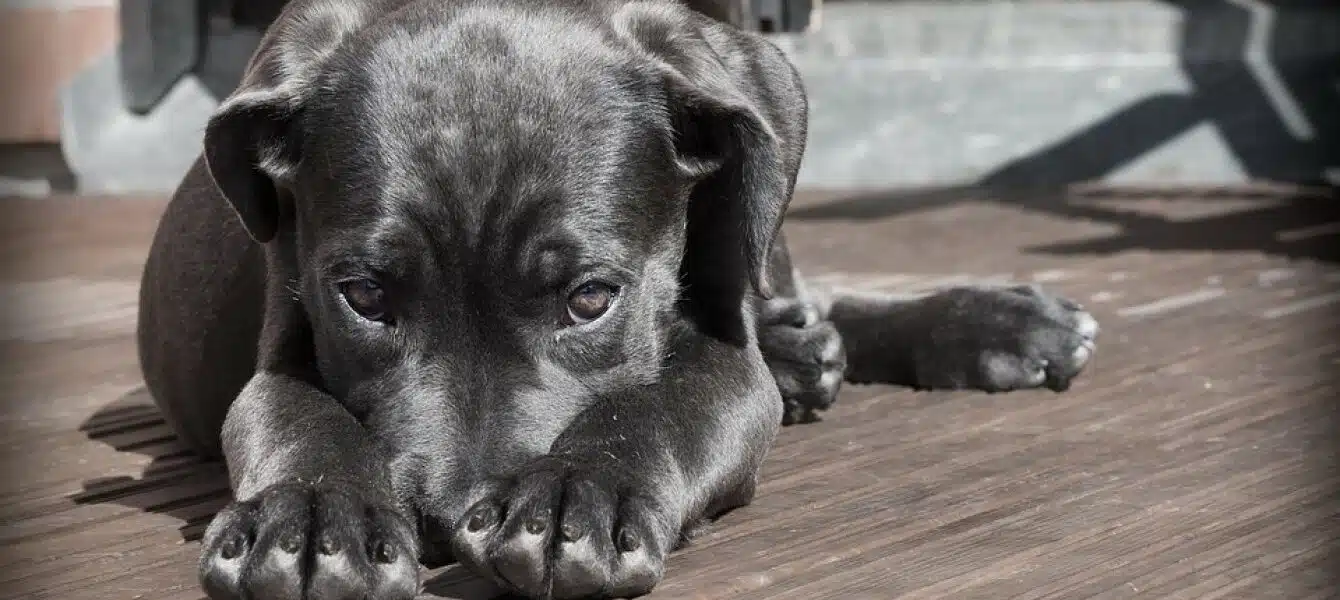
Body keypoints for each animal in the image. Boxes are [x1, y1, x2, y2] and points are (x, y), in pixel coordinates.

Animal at [138, 1, 1098, 600]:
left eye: (591, 299)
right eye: (365, 296)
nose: (446, 520)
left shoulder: (720, 349)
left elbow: (663, 405)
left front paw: (577, 494)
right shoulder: (284, 332)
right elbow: (295, 415)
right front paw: (311, 517)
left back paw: (989, 322)